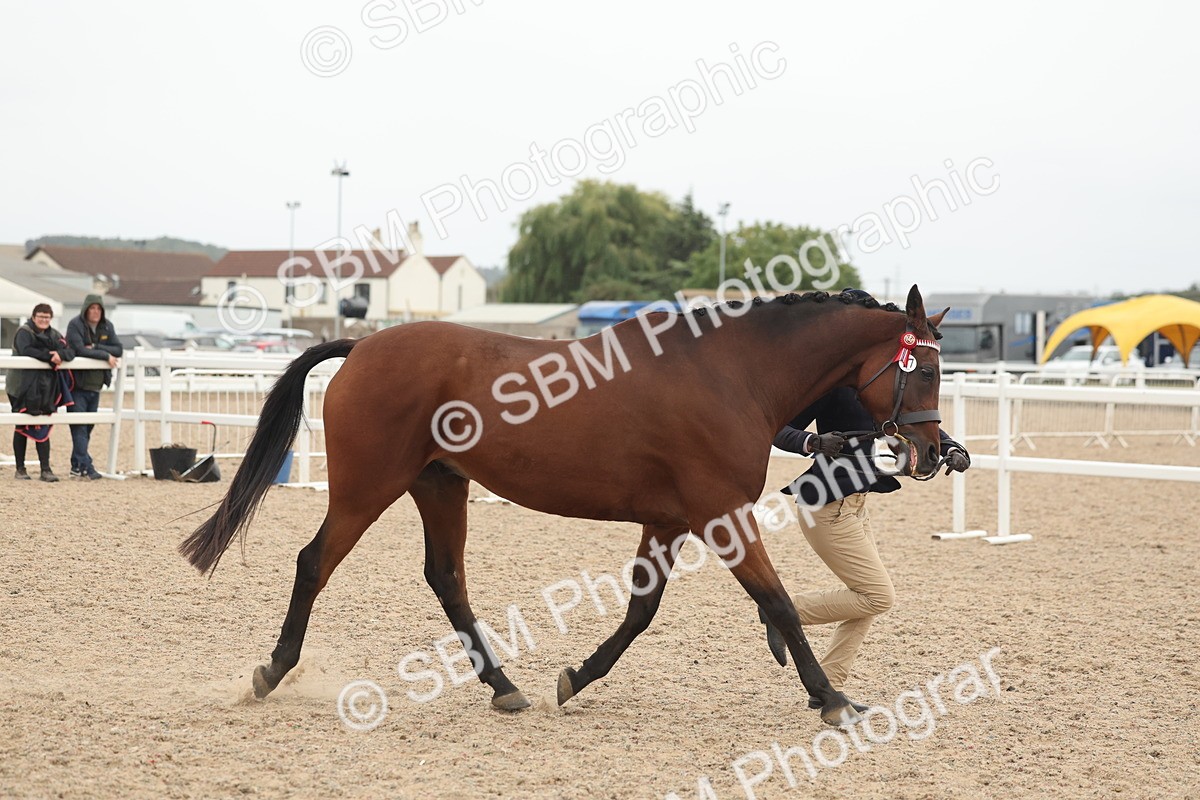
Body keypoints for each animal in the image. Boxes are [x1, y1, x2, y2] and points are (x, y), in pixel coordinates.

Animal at [180, 285, 946, 727]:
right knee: (315, 562)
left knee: (445, 578)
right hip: (368, 487)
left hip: (439, 485)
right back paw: (271, 671)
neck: (729, 373)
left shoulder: (668, 522)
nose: (935, 451)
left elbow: (640, 612)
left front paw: (576, 677)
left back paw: (504, 686)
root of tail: (364, 344)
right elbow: (779, 601)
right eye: (927, 369)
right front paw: (832, 700)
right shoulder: (719, 515)